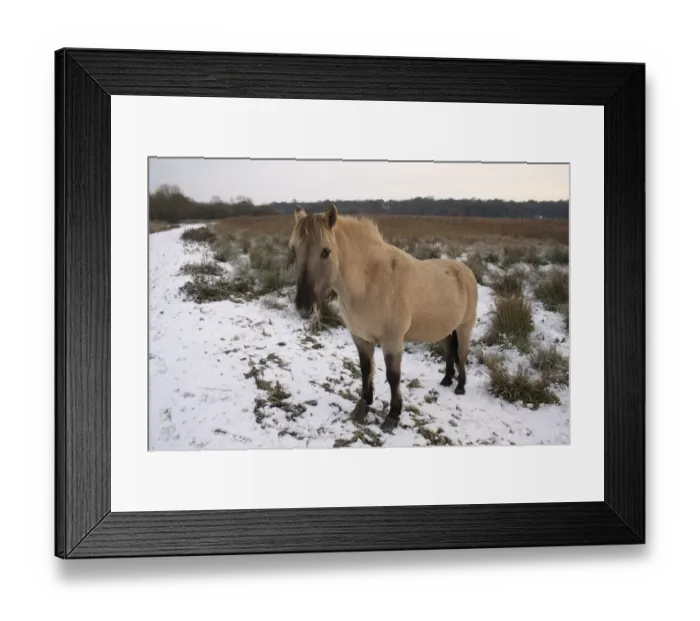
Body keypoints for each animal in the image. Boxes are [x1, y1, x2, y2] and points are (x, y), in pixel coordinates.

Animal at [289, 204, 478, 433]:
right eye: (294, 250)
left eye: (326, 251)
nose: (303, 308)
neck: (369, 282)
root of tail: (466, 272)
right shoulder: (360, 337)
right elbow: (365, 368)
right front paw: (365, 402)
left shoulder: (392, 341)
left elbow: (393, 376)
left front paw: (393, 415)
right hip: (444, 328)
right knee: (450, 350)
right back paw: (447, 379)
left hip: (464, 327)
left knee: (461, 354)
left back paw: (460, 385)